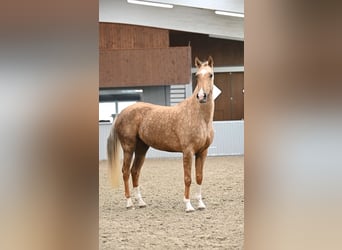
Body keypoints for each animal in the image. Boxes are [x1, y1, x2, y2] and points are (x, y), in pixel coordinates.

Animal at [107, 56, 214, 211]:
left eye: (210, 75)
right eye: (197, 75)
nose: (201, 96)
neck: (198, 116)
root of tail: (122, 113)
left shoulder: (202, 152)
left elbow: (199, 177)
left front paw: (200, 204)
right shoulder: (187, 152)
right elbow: (188, 178)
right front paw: (188, 205)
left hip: (141, 148)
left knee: (135, 171)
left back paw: (141, 202)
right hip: (128, 148)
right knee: (126, 171)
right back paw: (129, 203)